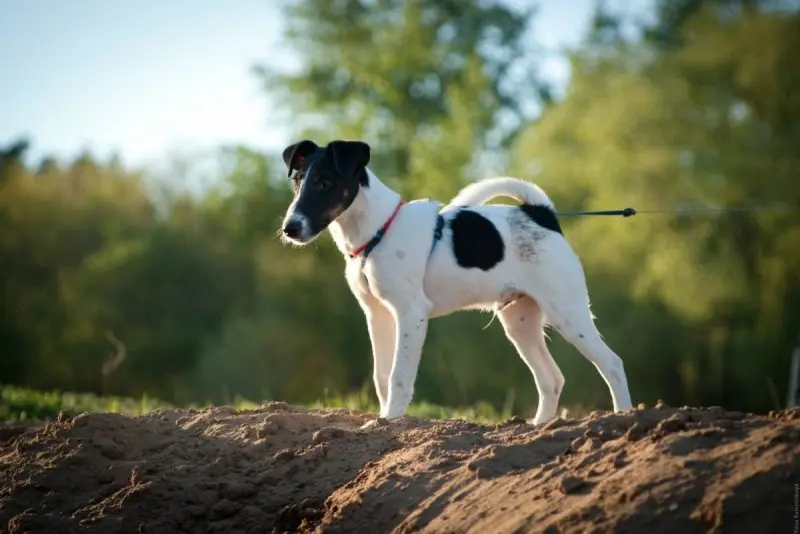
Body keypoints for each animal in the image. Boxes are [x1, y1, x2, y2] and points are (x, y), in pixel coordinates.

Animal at [278, 138, 636, 428]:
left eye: (325, 182)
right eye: (297, 182)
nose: (289, 228)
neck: (379, 229)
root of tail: (541, 214)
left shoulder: (411, 314)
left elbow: (398, 377)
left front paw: (391, 420)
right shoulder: (377, 315)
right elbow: (381, 377)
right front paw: (382, 420)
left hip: (567, 313)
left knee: (612, 364)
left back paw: (624, 416)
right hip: (520, 323)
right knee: (551, 379)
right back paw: (539, 426)